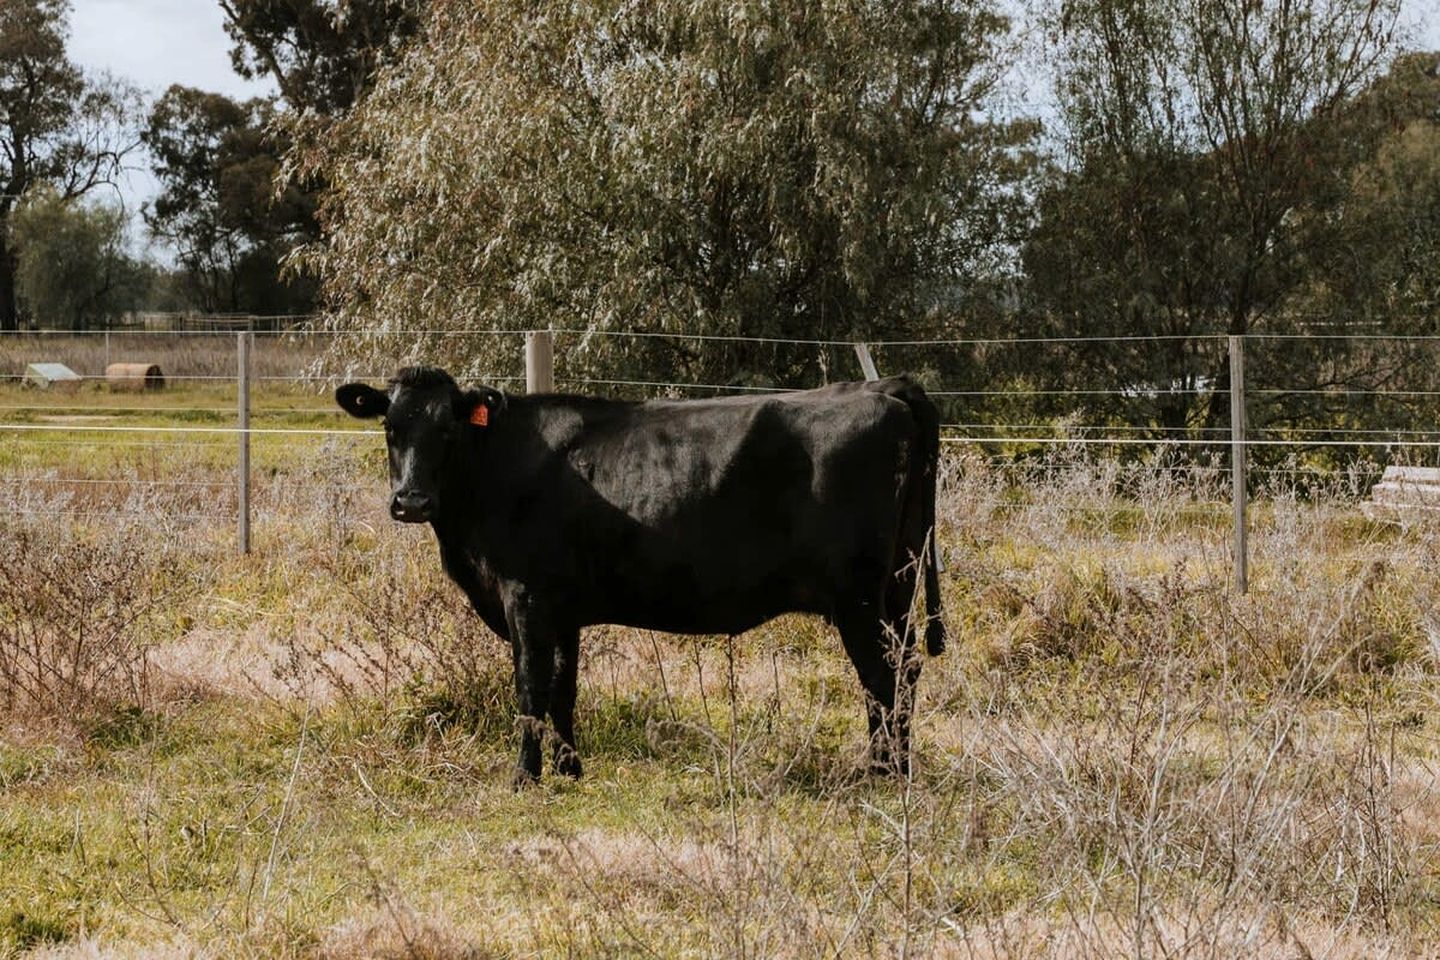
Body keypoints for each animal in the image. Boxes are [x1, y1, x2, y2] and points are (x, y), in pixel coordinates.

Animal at [336, 367, 945, 785]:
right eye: (390, 427)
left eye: (448, 431)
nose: (411, 501)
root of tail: (883, 388)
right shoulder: (563, 609)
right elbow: (563, 688)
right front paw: (570, 769)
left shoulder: (526, 598)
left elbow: (530, 686)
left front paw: (525, 776)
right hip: (897, 586)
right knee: (906, 668)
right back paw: (894, 767)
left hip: (858, 597)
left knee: (883, 677)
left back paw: (883, 773)